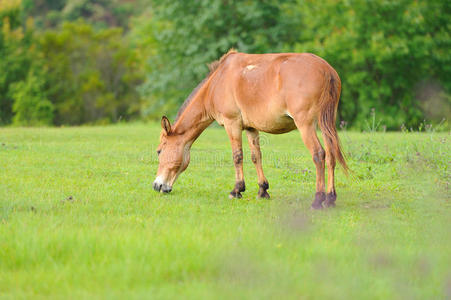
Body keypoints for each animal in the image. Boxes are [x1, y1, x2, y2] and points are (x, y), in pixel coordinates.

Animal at [154, 49, 348, 209]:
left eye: (159, 151)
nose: (157, 186)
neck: (218, 81)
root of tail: (326, 70)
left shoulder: (232, 124)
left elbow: (237, 156)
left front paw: (237, 190)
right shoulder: (250, 128)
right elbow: (256, 157)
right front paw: (263, 190)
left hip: (306, 125)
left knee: (319, 155)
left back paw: (318, 199)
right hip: (325, 124)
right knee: (331, 156)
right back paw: (330, 198)